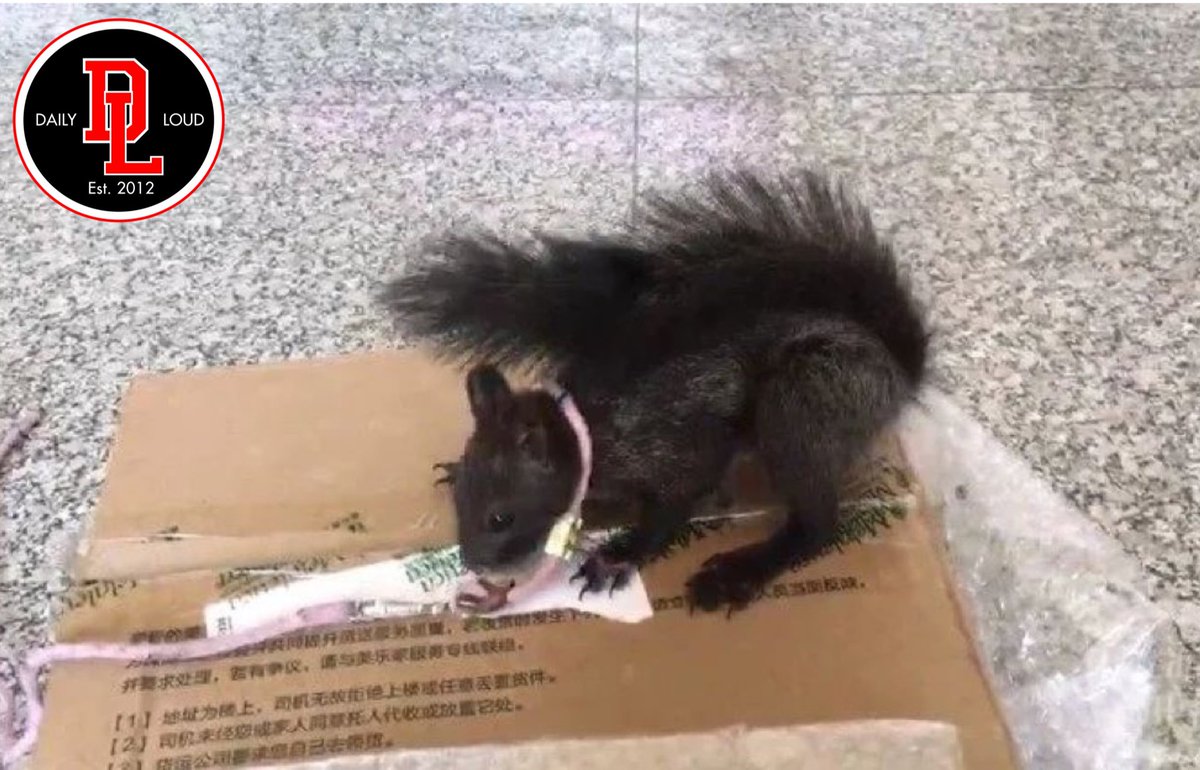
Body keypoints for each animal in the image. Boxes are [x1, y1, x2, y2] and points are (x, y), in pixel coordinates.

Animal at [382, 170, 929, 614]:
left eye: (501, 517)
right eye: (461, 499)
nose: (476, 564)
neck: (588, 434)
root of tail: (898, 370)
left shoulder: (676, 447)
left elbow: (672, 509)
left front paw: (617, 555)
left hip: (806, 402)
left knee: (817, 525)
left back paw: (738, 574)